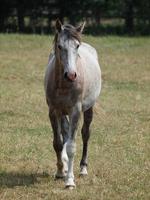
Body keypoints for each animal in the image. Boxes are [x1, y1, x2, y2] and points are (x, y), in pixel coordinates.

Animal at [44, 19, 101, 189]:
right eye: (59, 46)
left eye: (77, 46)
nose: (71, 75)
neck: (63, 85)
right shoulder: (53, 111)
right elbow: (58, 142)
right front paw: (59, 172)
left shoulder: (76, 111)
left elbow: (71, 146)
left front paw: (70, 180)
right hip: (63, 112)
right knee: (66, 132)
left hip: (88, 108)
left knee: (85, 134)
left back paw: (83, 168)